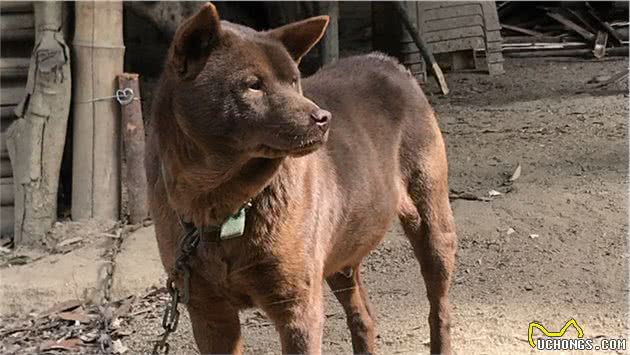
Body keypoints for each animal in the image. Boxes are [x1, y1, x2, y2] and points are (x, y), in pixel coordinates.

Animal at [146, 3, 456, 355]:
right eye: (253, 84)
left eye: (294, 81)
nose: (323, 118)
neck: (221, 201)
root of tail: (388, 61)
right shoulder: (208, 312)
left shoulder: (297, 307)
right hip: (341, 250)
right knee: (363, 316)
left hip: (432, 224)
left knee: (439, 307)